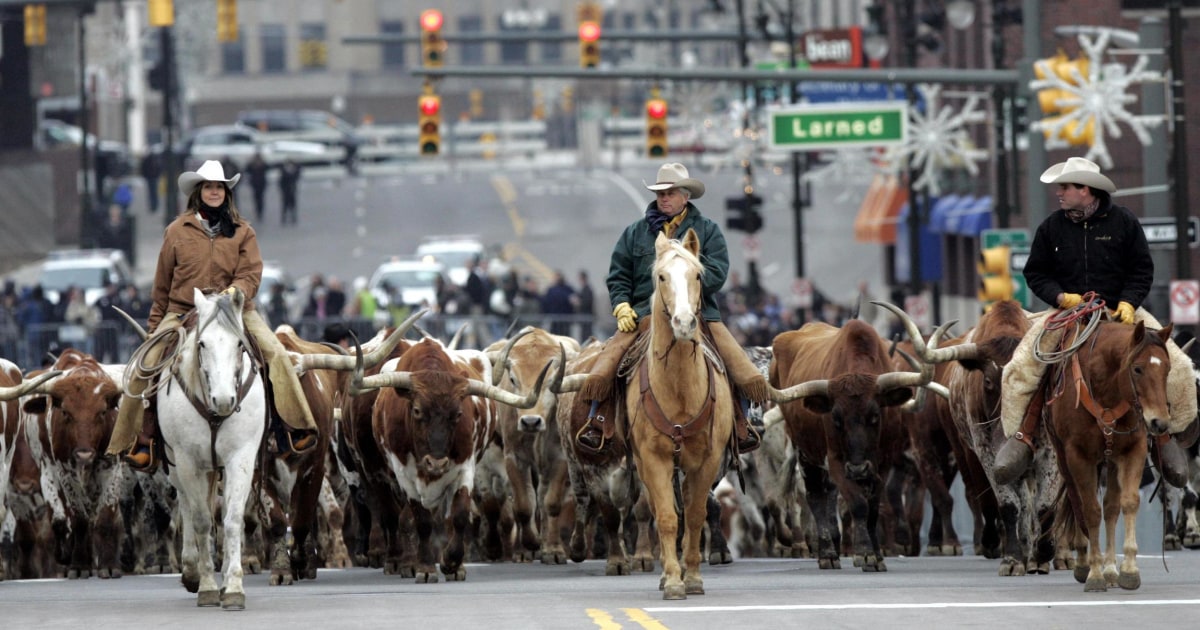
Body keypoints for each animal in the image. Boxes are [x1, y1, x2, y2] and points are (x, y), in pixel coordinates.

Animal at [156, 286, 266, 607]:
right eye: (202, 344)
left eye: (240, 344)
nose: (225, 400)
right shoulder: (188, 460)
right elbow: (202, 520)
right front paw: (205, 584)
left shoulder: (240, 457)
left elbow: (232, 518)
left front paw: (233, 586)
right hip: (176, 464)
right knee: (186, 505)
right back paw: (191, 570)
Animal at [1051, 319, 1171, 590]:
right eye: (1137, 369)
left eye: (1168, 369)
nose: (1159, 423)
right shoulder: (1078, 456)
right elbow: (1090, 510)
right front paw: (1095, 573)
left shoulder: (1132, 450)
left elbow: (1128, 502)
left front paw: (1128, 569)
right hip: (1064, 459)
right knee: (1076, 502)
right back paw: (1084, 563)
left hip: (1111, 461)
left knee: (1111, 507)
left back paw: (1111, 569)